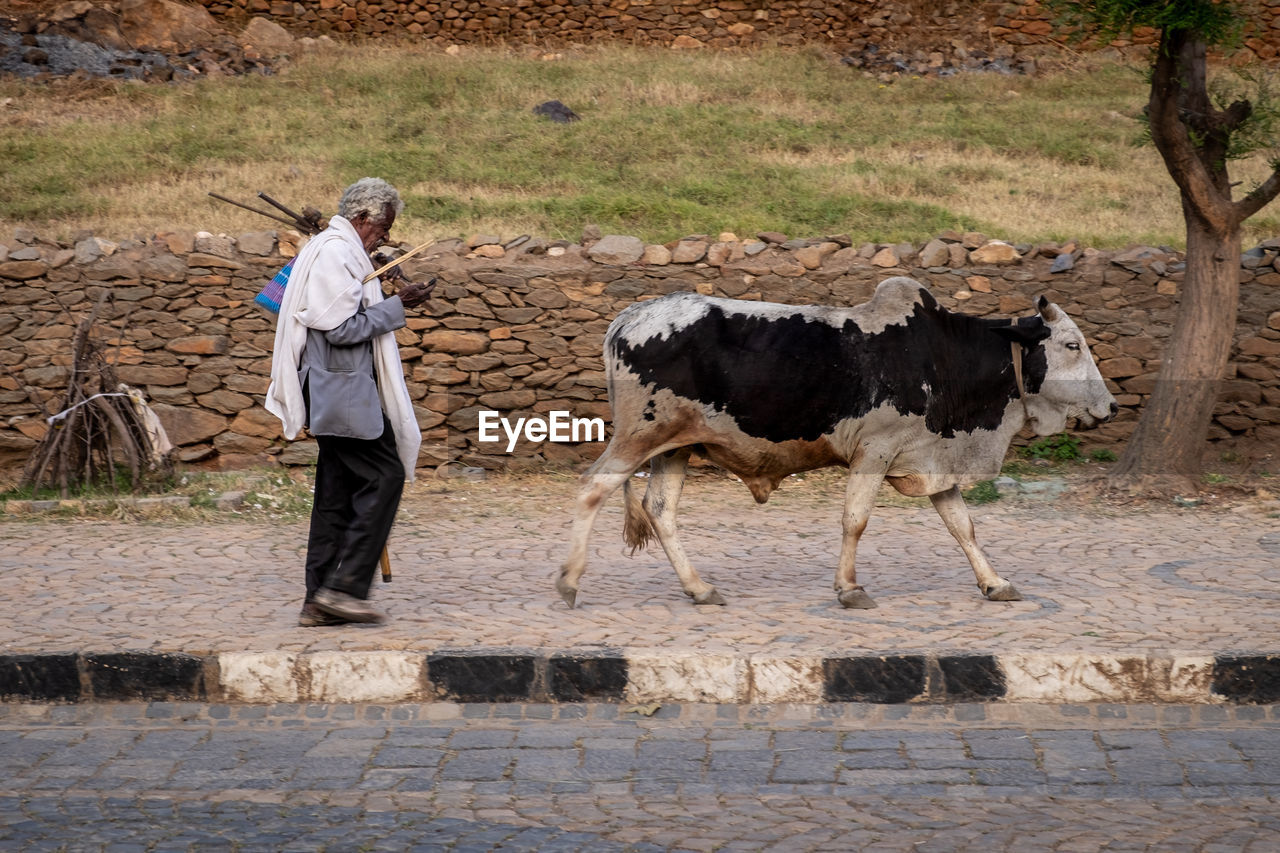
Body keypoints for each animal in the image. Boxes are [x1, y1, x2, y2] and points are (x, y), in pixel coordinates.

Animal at [555, 275, 1116, 607]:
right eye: (1072, 345)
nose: (1110, 407)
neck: (943, 361)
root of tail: (628, 317)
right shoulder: (875, 452)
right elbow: (855, 520)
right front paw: (848, 588)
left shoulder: (933, 458)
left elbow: (963, 526)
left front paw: (994, 582)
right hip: (639, 436)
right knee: (591, 489)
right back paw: (569, 581)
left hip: (675, 447)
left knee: (660, 510)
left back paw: (699, 587)